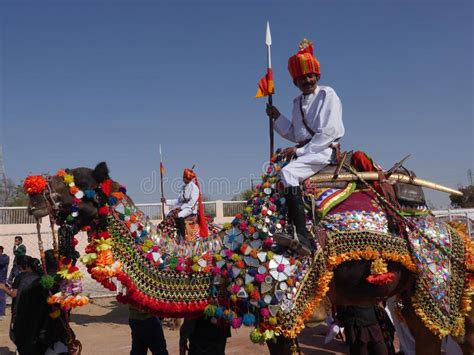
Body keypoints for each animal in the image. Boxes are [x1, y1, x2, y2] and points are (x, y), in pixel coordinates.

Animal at [25, 154, 474, 355]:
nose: (33, 197)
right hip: (415, 297)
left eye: (80, 186)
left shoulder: (282, 311)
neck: (218, 258)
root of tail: (456, 229)